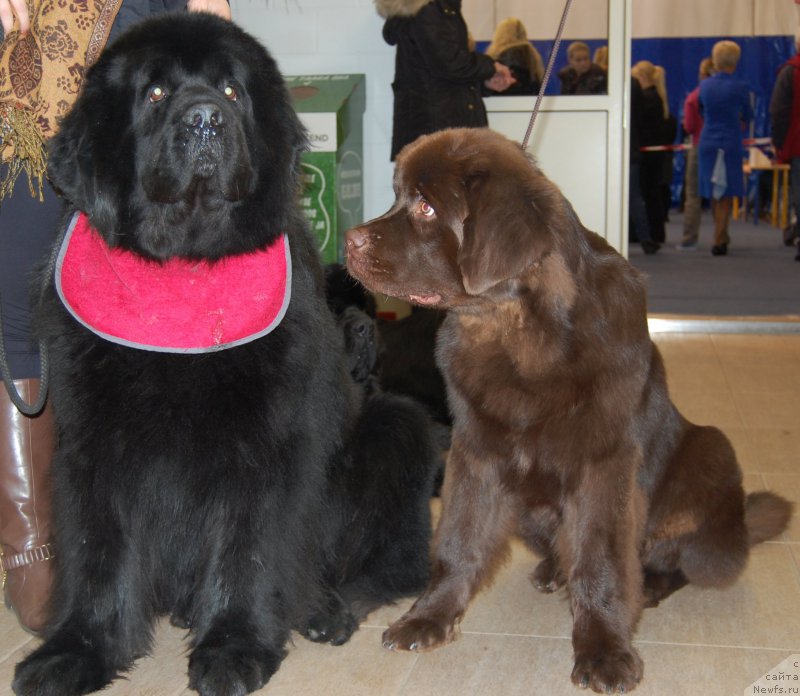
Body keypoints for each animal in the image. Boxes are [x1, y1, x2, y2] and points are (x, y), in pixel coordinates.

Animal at [10, 12, 438, 696]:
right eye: (155, 93)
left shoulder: (263, 442)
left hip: (399, 428)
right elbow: (98, 553)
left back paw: (326, 609)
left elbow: (248, 547)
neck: (184, 270)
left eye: (233, 91)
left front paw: (234, 647)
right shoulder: (94, 444)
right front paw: (77, 650)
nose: (206, 118)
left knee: (390, 566)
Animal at [346, 129, 792, 692]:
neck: (519, 334)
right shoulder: (476, 453)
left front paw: (604, 650)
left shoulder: (604, 465)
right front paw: (428, 618)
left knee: (676, 559)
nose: (349, 240)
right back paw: (553, 571)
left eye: (426, 207)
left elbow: (600, 561)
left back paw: (649, 584)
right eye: (397, 197)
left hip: (714, 453)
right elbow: (456, 541)